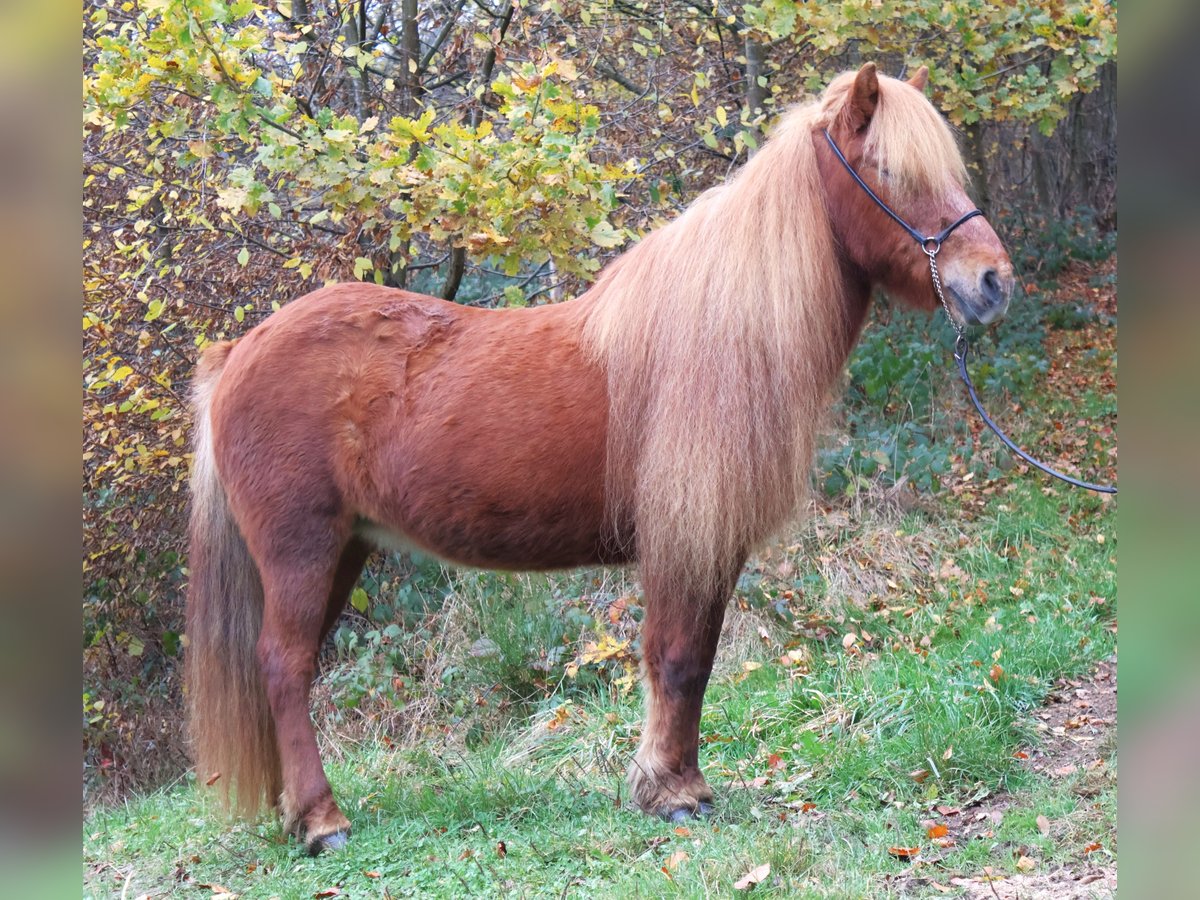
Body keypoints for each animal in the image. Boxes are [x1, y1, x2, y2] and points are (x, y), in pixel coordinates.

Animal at [184, 61, 1012, 854]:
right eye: (890, 171)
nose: (993, 281)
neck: (720, 336)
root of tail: (238, 354)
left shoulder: (713, 547)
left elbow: (697, 660)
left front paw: (679, 783)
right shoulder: (683, 541)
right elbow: (676, 658)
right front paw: (671, 793)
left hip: (341, 551)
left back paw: (296, 813)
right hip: (302, 550)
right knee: (285, 666)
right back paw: (323, 821)